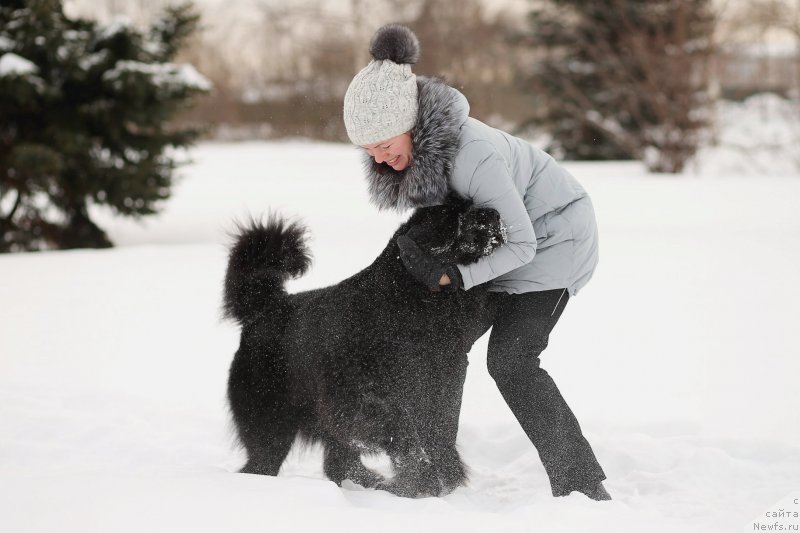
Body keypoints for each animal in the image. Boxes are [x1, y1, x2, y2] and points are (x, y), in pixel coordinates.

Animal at [222, 197, 504, 496]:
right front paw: (422, 479)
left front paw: (444, 480)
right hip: (271, 421)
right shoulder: (357, 397)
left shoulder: (445, 386)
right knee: (267, 459)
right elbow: (400, 428)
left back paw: (374, 484)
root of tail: (265, 309)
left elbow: (440, 433)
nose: (495, 214)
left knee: (337, 463)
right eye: (454, 214)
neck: (412, 299)